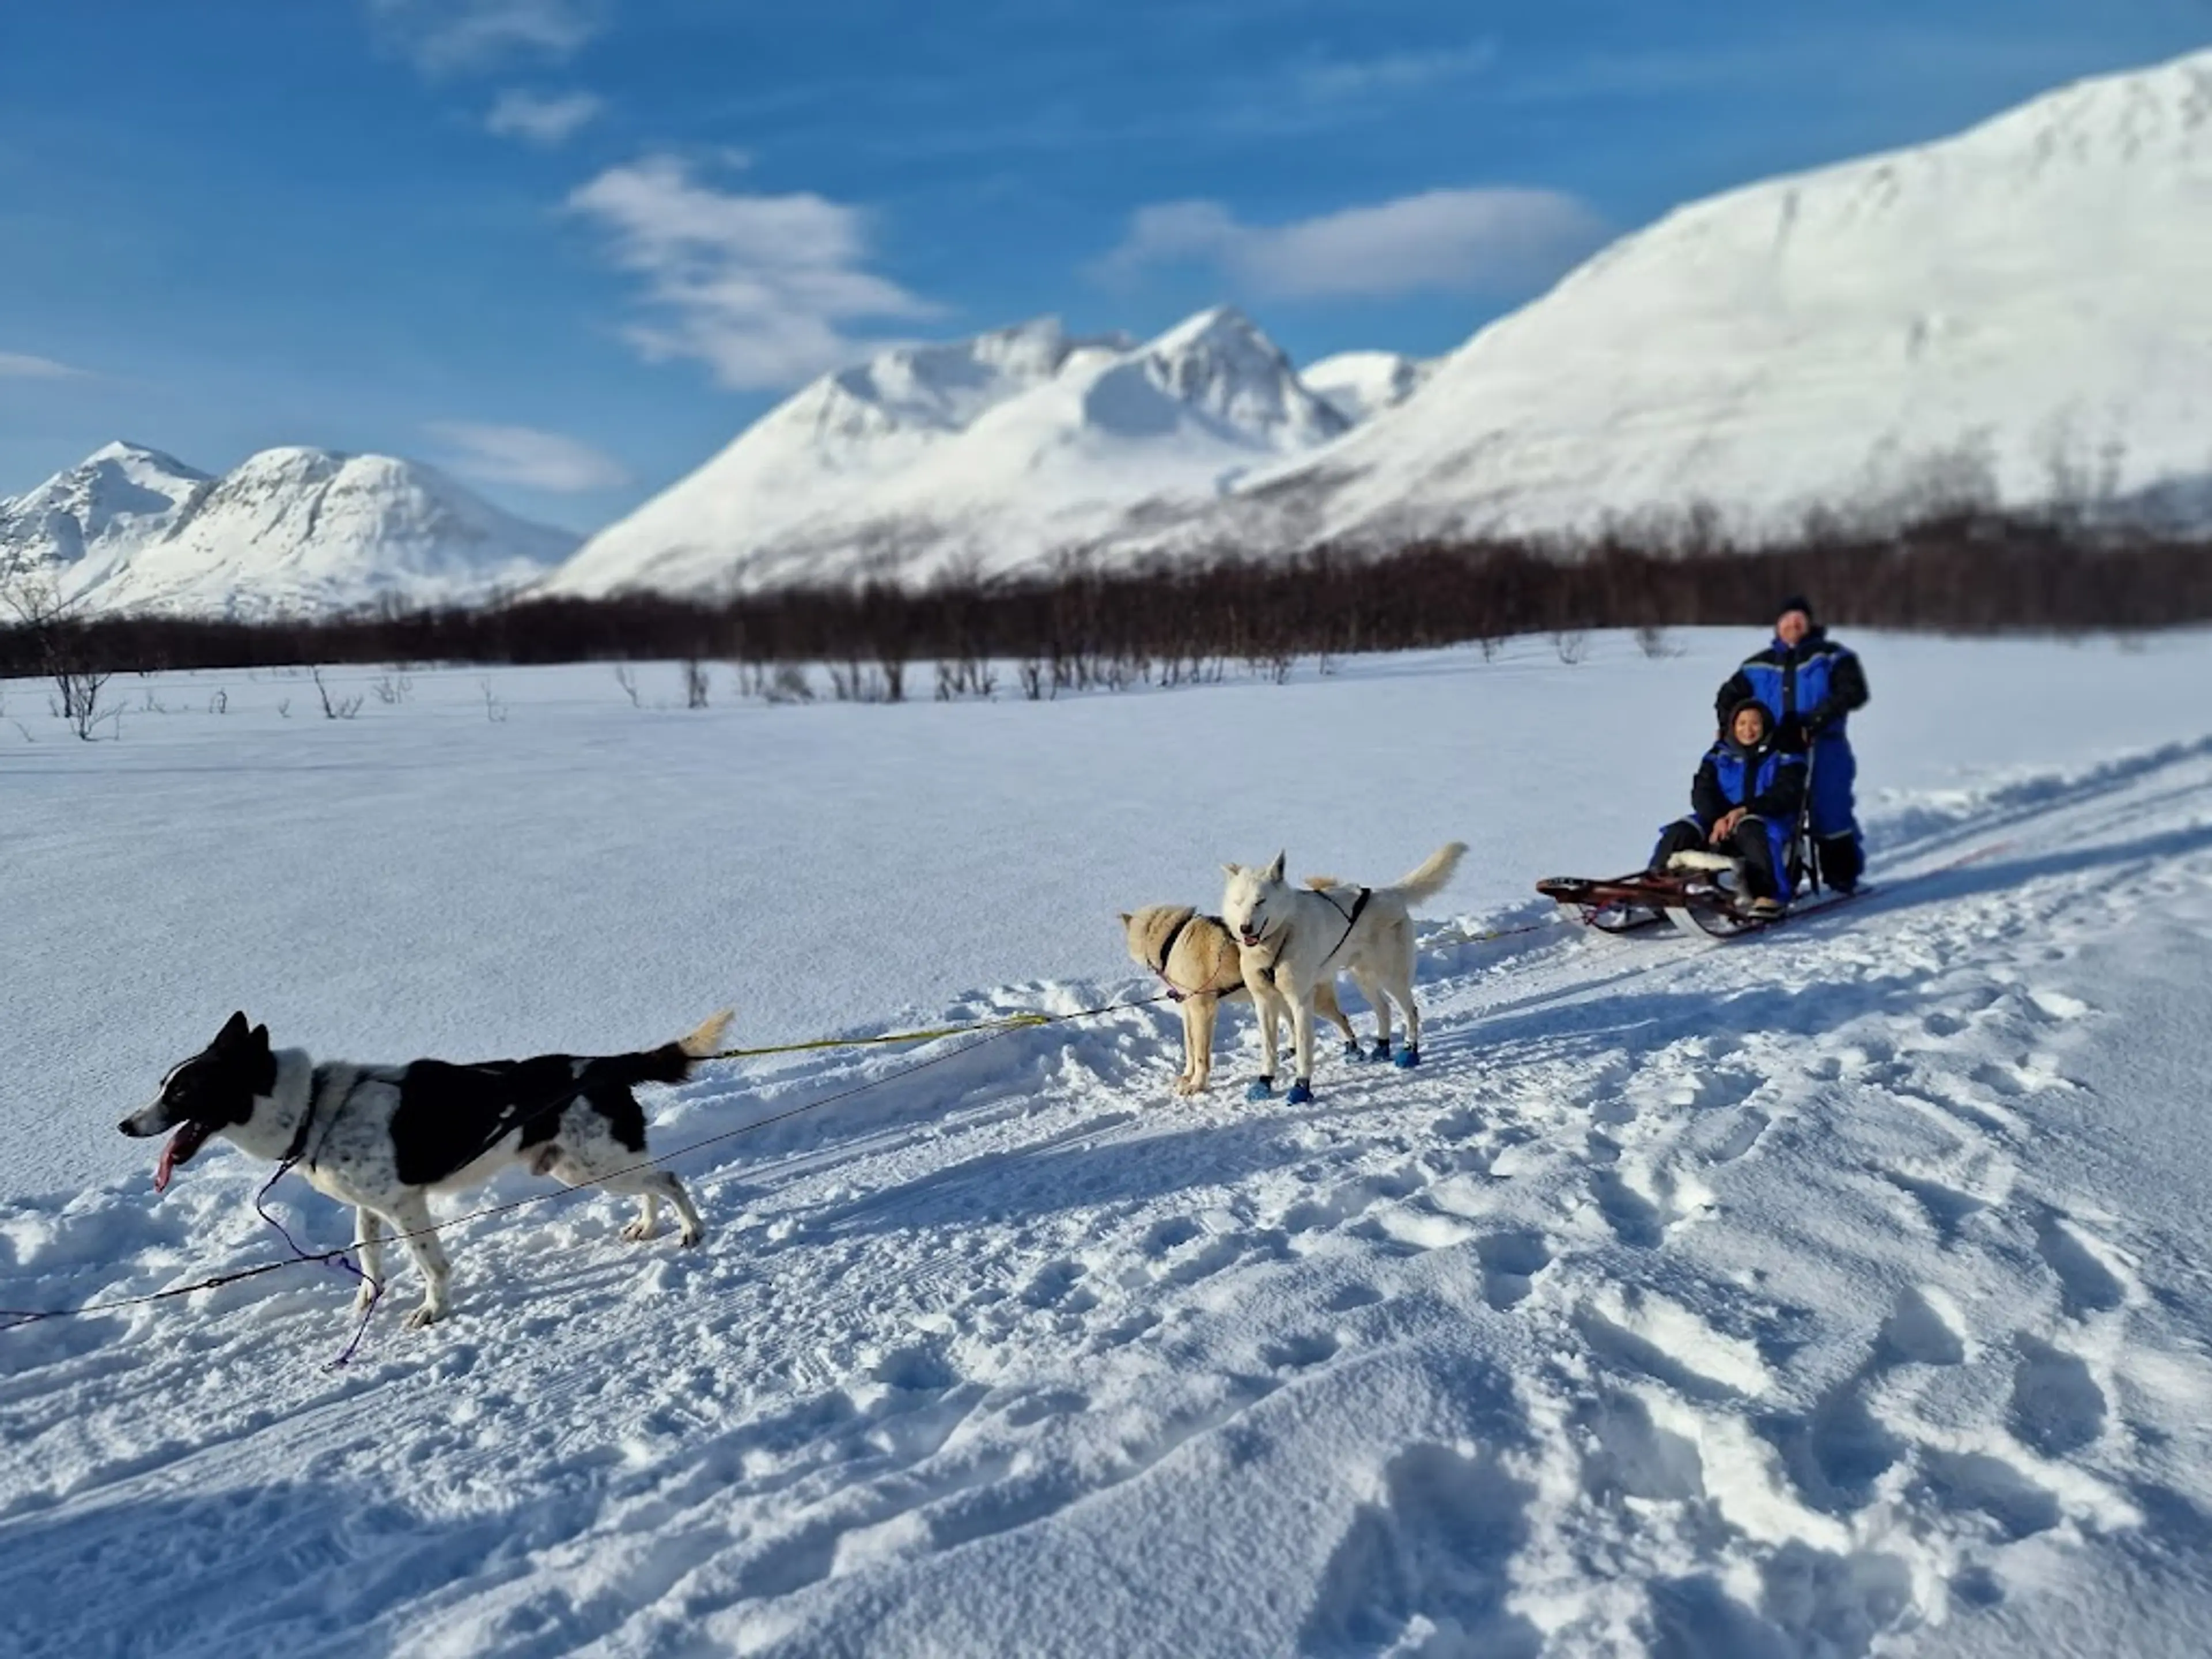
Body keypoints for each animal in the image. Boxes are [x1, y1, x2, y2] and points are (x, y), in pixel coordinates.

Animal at [121, 1009, 730, 1336]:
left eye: (182, 1091)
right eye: (163, 1084)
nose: (124, 1124)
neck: (314, 1106)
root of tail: (605, 1064)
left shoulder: (405, 1206)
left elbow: (431, 1265)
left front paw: (433, 1310)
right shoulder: (369, 1209)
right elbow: (370, 1261)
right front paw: (366, 1304)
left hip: (597, 1164)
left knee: (670, 1180)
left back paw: (691, 1230)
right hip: (587, 1168)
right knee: (651, 1184)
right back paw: (648, 1226)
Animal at [1115, 902, 1354, 1097]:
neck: (1173, 938)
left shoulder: (1203, 1009)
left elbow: (1201, 1055)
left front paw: (1197, 1085)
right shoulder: (1188, 1010)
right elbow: (1190, 1048)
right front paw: (1187, 1076)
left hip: (1316, 1001)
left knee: (1341, 1018)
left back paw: (1354, 1049)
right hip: (1277, 1000)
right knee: (1294, 1025)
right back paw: (1290, 1051)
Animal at [1212, 844, 1468, 1106]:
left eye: (1260, 901)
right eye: (1238, 902)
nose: (1245, 928)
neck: (1280, 939)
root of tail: (1389, 893)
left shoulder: (1301, 1001)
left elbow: (1303, 1048)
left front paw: (1301, 1087)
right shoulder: (1264, 1002)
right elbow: (1268, 1048)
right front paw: (1264, 1082)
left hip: (1391, 977)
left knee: (1411, 1012)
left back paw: (1409, 1052)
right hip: (1364, 979)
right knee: (1384, 1009)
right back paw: (1382, 1048)